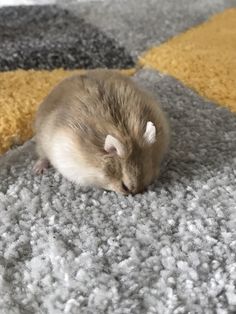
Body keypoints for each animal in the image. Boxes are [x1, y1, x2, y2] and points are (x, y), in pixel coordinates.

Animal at [33, 70, 170, 195]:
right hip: (41, 139)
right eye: (125, 187)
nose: (136, 193)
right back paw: (38, 170)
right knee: (42, 155)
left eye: (150, 180)